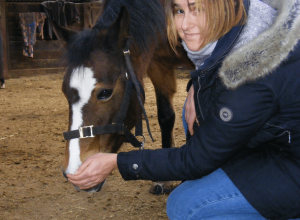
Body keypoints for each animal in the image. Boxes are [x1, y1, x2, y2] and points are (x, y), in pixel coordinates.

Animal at [56, 0, 195, 193]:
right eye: (64, 91)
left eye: (105, 93)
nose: (74, 171)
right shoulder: (158, 64)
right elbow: (166, 117)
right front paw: (164, 180)